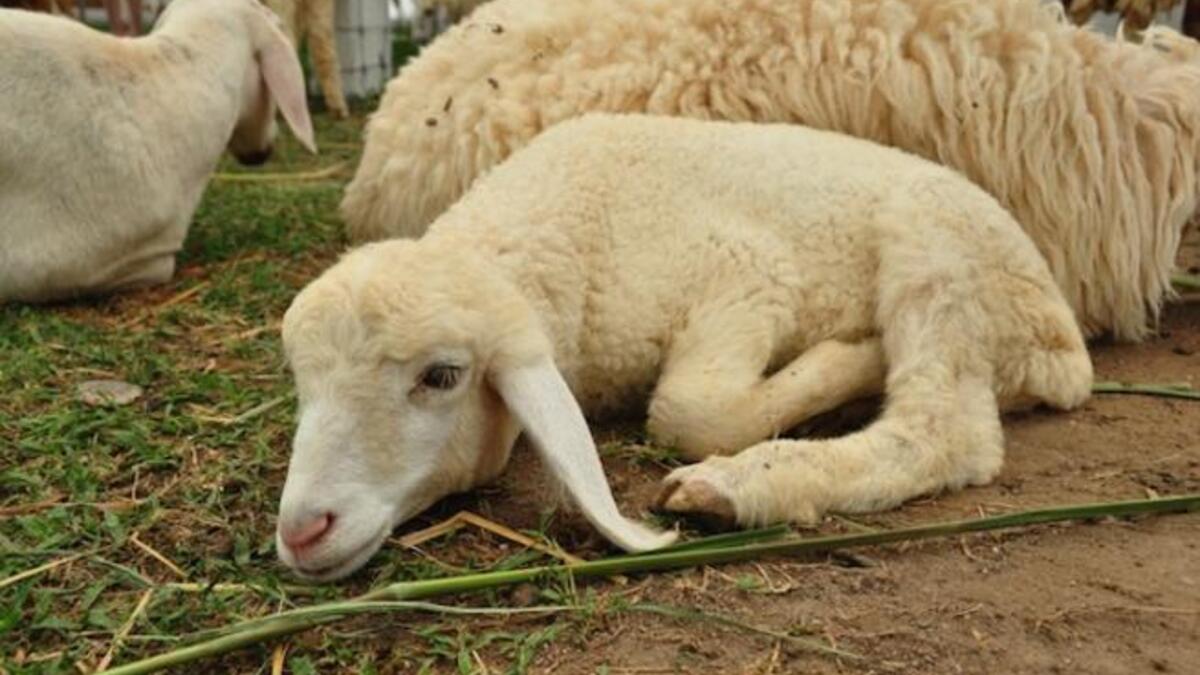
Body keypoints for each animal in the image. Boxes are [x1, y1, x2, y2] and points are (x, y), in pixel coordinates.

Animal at [275, 113, 1093, 581]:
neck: (572, 223)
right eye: (305, 385)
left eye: (441, 376)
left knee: (946, 430)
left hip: (936, 252)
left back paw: (742, 482)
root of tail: (1060, 345)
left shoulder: (751, 273)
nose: (302, 531)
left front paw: (846, 358)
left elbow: (688, 412)